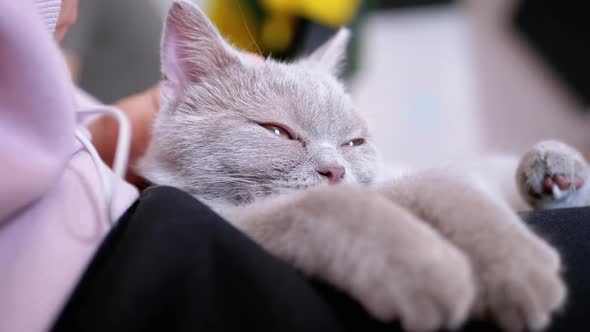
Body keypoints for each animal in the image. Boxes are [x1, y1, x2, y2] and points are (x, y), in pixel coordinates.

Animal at [139, 1, 568, 330]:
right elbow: (332, 206)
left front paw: (518, 265)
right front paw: (426, 267)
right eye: (278, 132)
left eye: (354, 143)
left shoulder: (406, 179)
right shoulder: (234, 218)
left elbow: (443, 186)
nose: (335, 170)